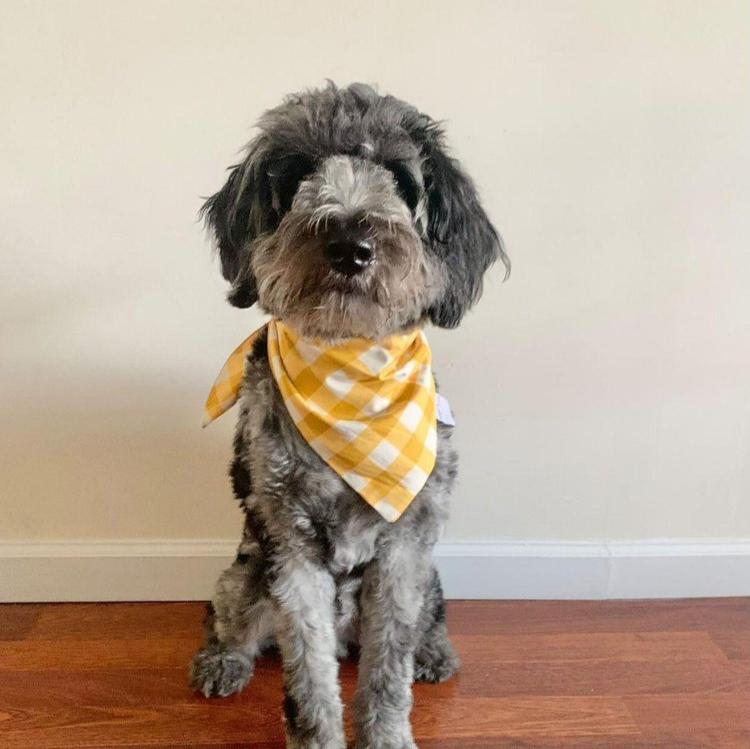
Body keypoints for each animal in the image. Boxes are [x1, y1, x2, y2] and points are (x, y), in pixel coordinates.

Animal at [192, 82, 512, 748]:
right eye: (295, 174)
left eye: (400, 176)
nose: (348, 245)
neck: (348, 371)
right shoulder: (290, 550)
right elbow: (309, 679)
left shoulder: (404, 553)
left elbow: (388, 669)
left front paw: (386, 733)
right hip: (245, 572)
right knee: (227, 620)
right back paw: (221, 663)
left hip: (432, 580)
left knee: (426, 626)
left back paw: (434, 654)